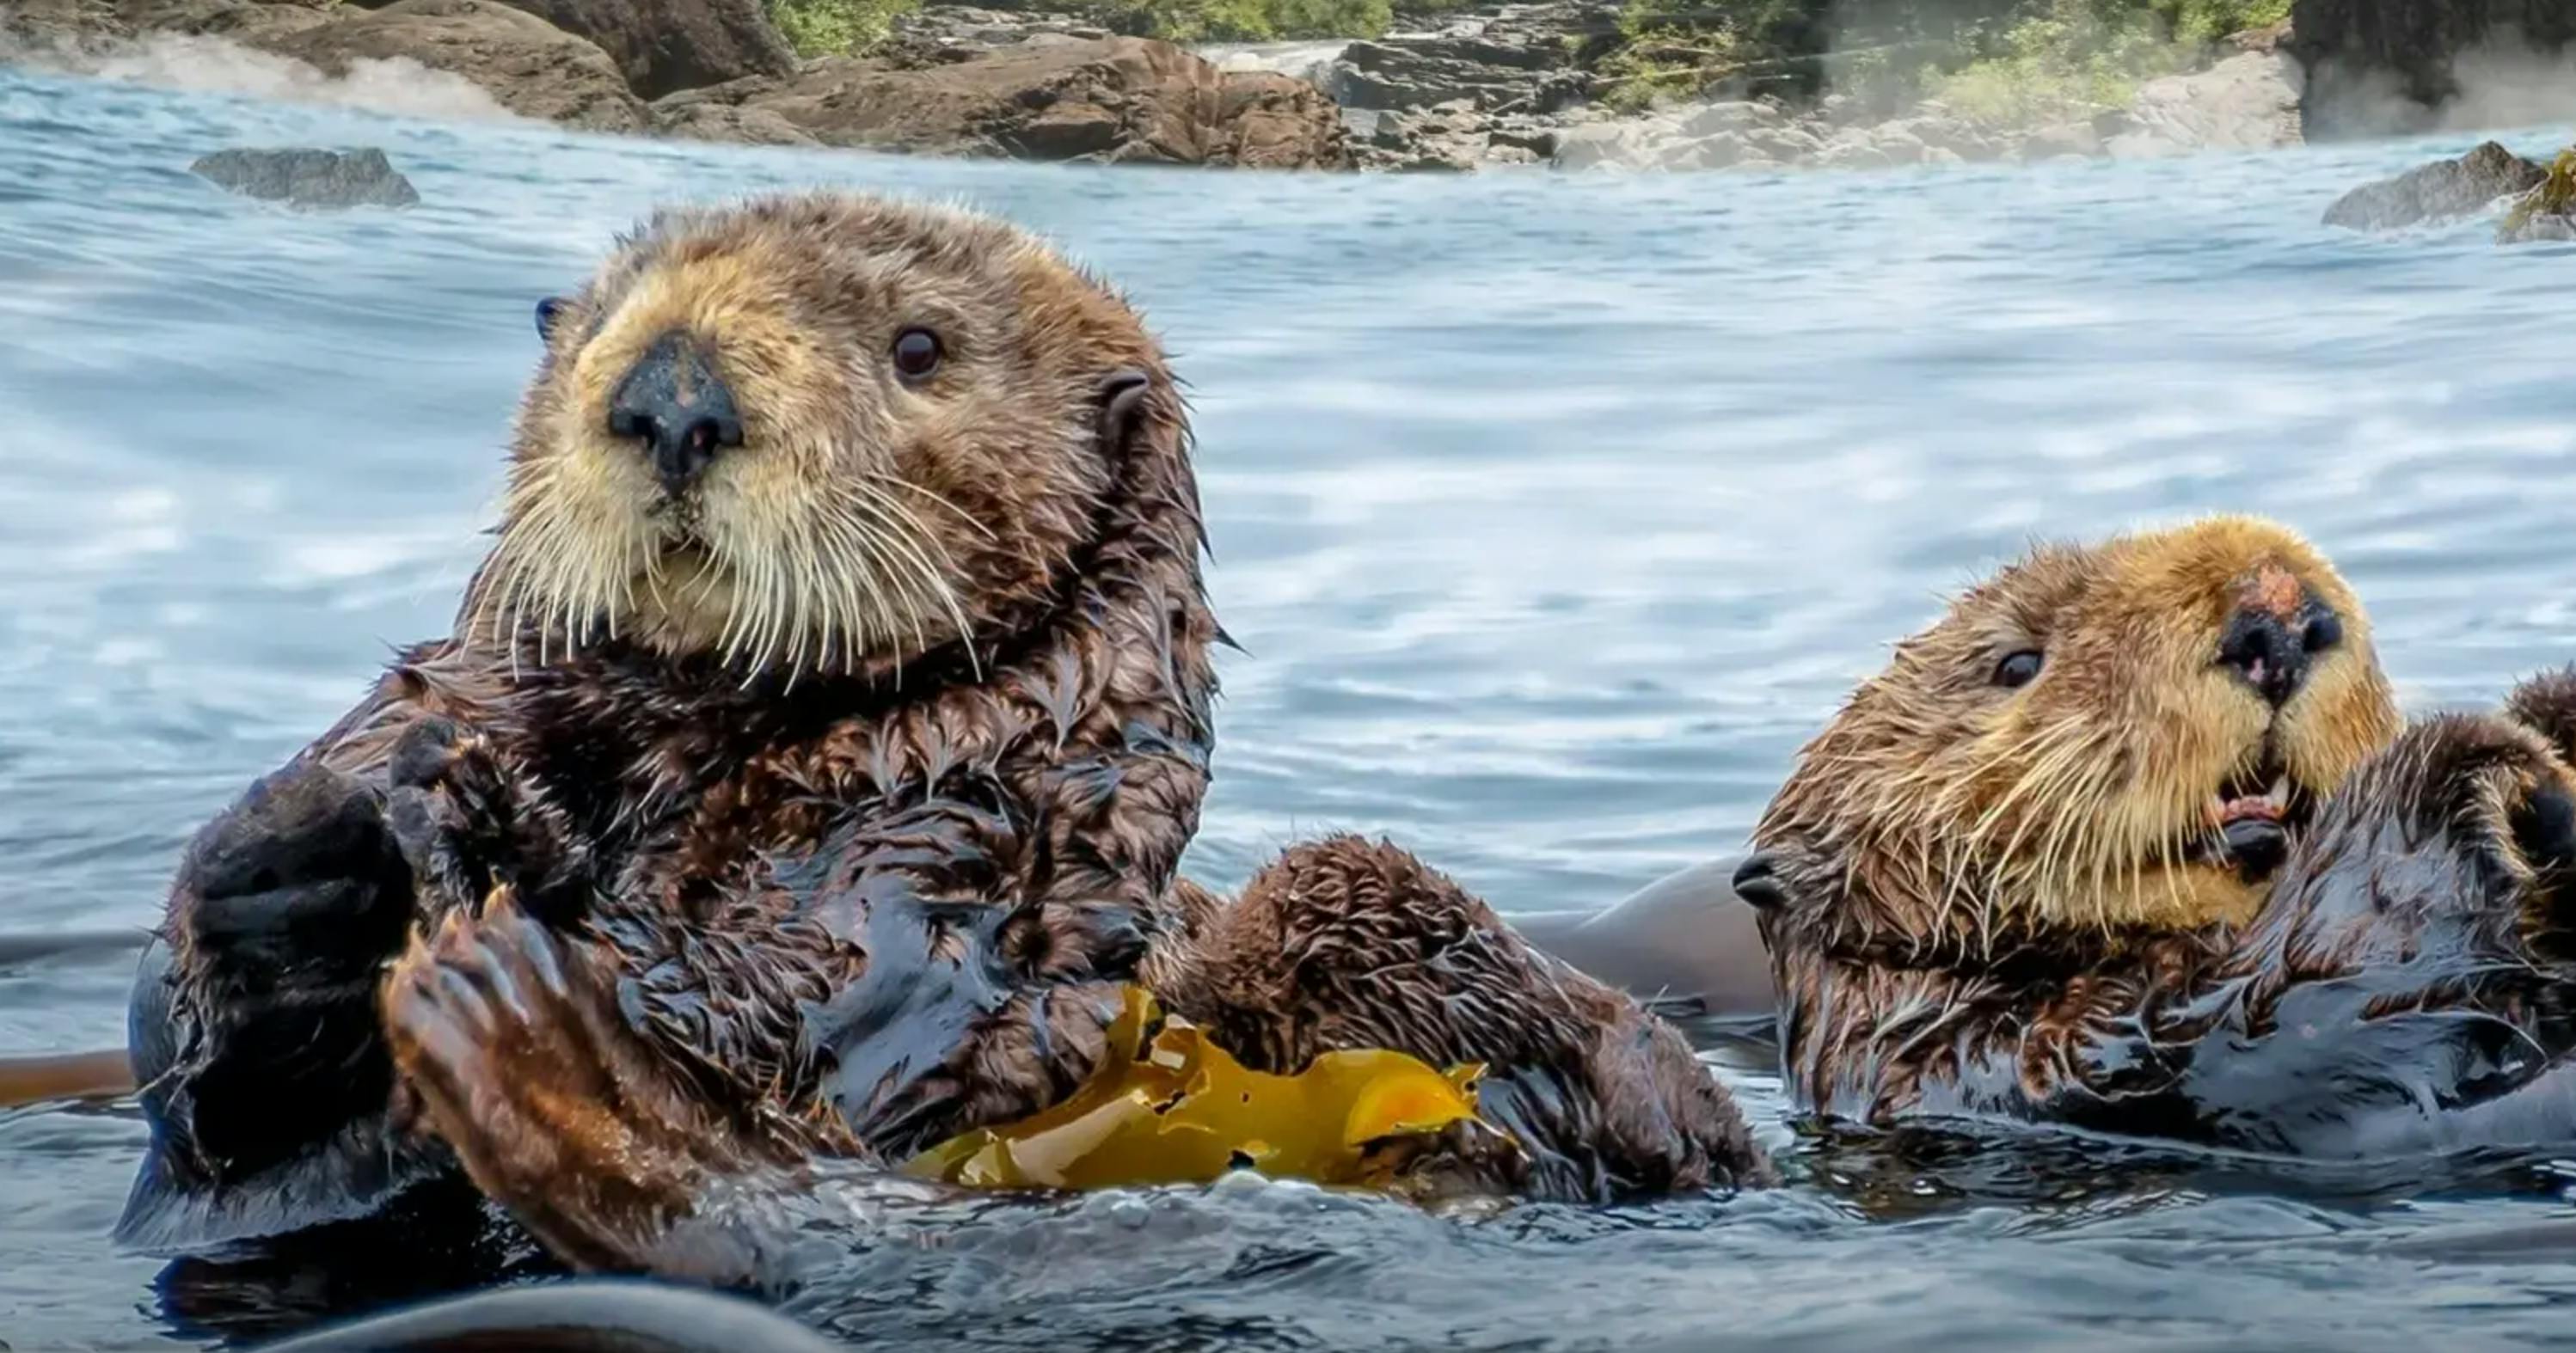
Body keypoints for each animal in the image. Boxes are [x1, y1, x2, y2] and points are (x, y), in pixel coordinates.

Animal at [122, 193, 1766, 1272]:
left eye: (919, 349)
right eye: (594, 325)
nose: (671, 394)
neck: (701, 737)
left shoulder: (952, 852)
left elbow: (798, 1010)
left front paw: (500, 875)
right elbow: (214, 1109)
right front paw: (313, 844)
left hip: (1379, 922)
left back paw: (536, 1045)